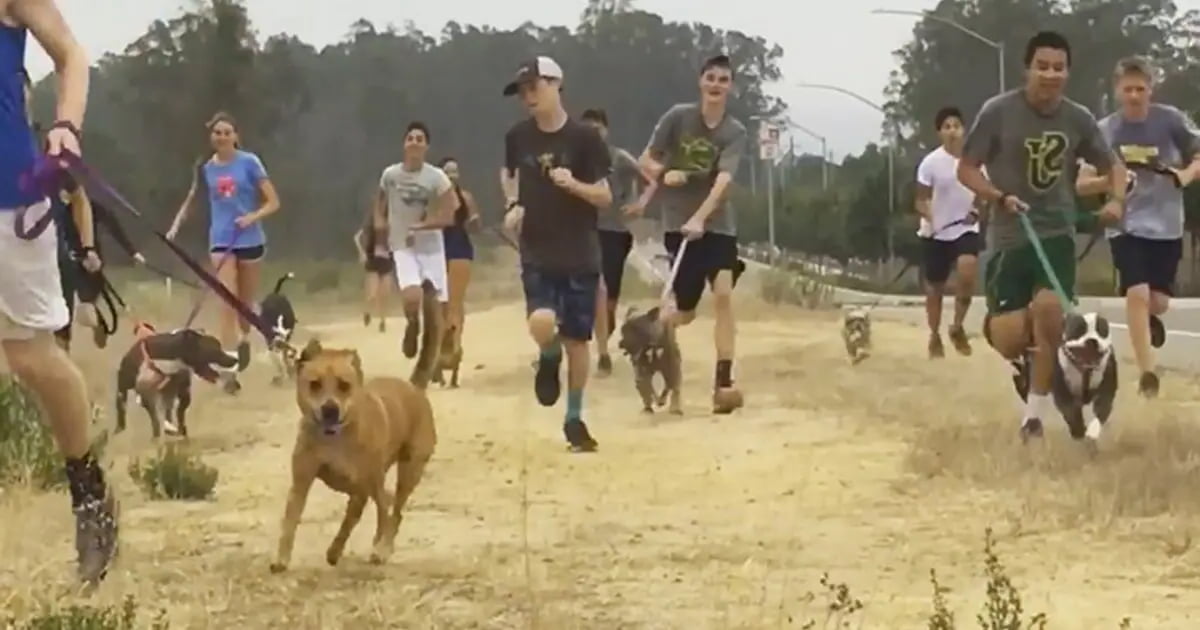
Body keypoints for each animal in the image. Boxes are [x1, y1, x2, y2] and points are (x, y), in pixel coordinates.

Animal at [271, 338, 436, 568]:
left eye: (344, 385)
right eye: (314, 384)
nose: (330, 409)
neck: (334, 439)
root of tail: (414, 389)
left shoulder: (365, 486)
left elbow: (366, 519)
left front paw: (372, 550)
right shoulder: (301, 483)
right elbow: (290, 521)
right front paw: (282, 559)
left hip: (408, 471)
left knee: (393, 511)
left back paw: (383, 547)